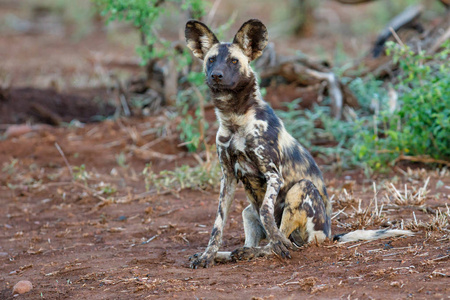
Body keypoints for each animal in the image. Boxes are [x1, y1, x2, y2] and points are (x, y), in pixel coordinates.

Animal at [185, 19, 414, 268]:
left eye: (234, 61)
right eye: (211, 60)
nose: (216, 75)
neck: (235, 119)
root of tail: (328, 235)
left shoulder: (274, 175)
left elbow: (267, 214)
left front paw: (275, 244)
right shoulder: (227, 178)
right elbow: (217, 225)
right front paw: (207, 255)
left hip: (300, 191)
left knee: (284, 241)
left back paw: (266, 249)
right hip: (248, 212)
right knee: (252, 236)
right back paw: (232, 253)